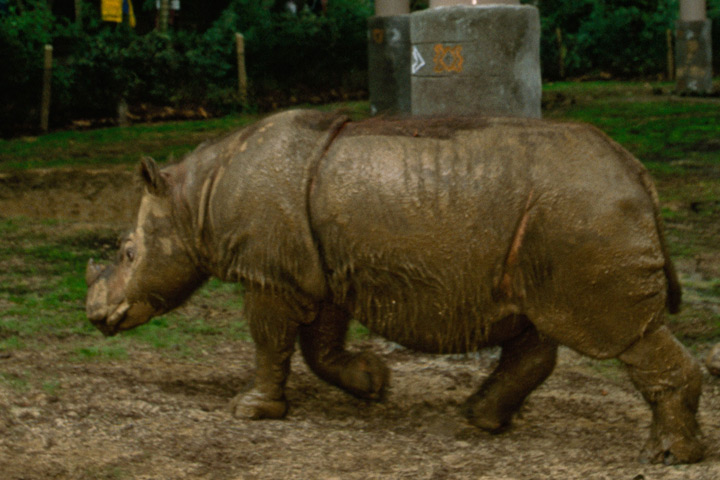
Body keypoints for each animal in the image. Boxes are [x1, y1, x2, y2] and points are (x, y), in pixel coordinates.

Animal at [85, 110, 703, 464]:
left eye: (128, 253)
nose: (95, 315)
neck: (193, 198)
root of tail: (638, 174)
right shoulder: (323, 268)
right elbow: (319, 345)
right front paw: (373, 383)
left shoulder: (271, 274)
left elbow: (270, 341)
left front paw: (249, 410)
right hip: (555, 227)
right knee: (534, 324)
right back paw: (478, 420)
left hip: (583, 216)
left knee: (620, 334)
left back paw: (667, 457)